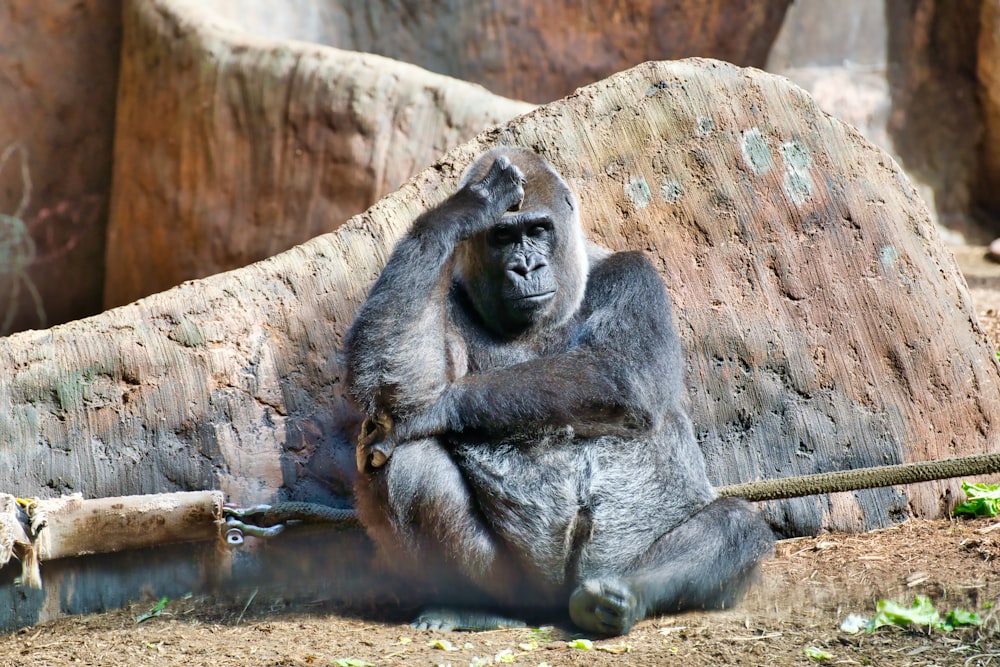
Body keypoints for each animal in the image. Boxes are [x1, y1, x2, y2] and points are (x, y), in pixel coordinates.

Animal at [342, 147, 772, 636]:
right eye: (502, 236)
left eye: (538, 230)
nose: (526, 266)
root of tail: (554, 606)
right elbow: (396, 375)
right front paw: (465, 208)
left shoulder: (636, 272)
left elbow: (623, 374)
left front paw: (438, 408)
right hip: (522, 586)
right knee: (407, 463)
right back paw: (472, 606)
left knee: (735, 526)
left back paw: (620, 596)